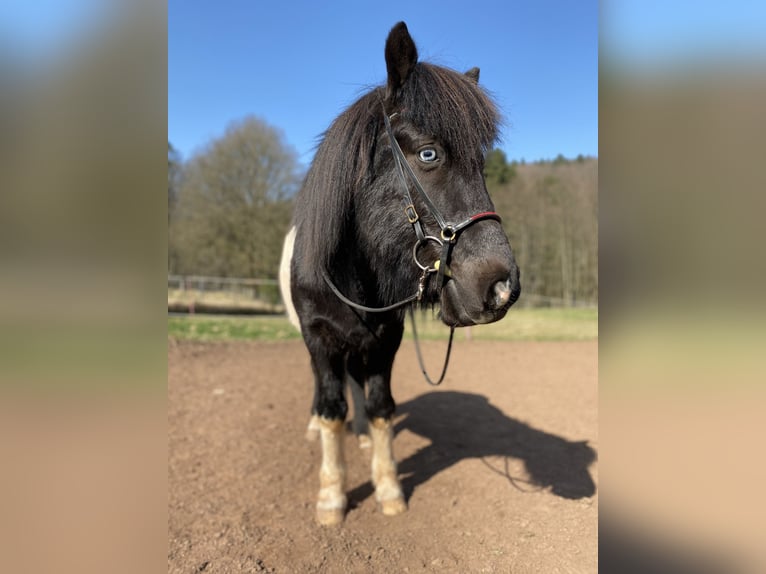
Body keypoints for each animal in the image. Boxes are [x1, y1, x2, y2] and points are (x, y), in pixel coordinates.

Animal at [280, 21, 524, 528]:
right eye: (428, 154)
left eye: (482, 163)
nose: (501, 287)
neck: (350, 277)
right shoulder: (319, 338)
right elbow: (330, 407)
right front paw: (331, 497)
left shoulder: (384, 341)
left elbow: (380, 407)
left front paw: (388, 486)